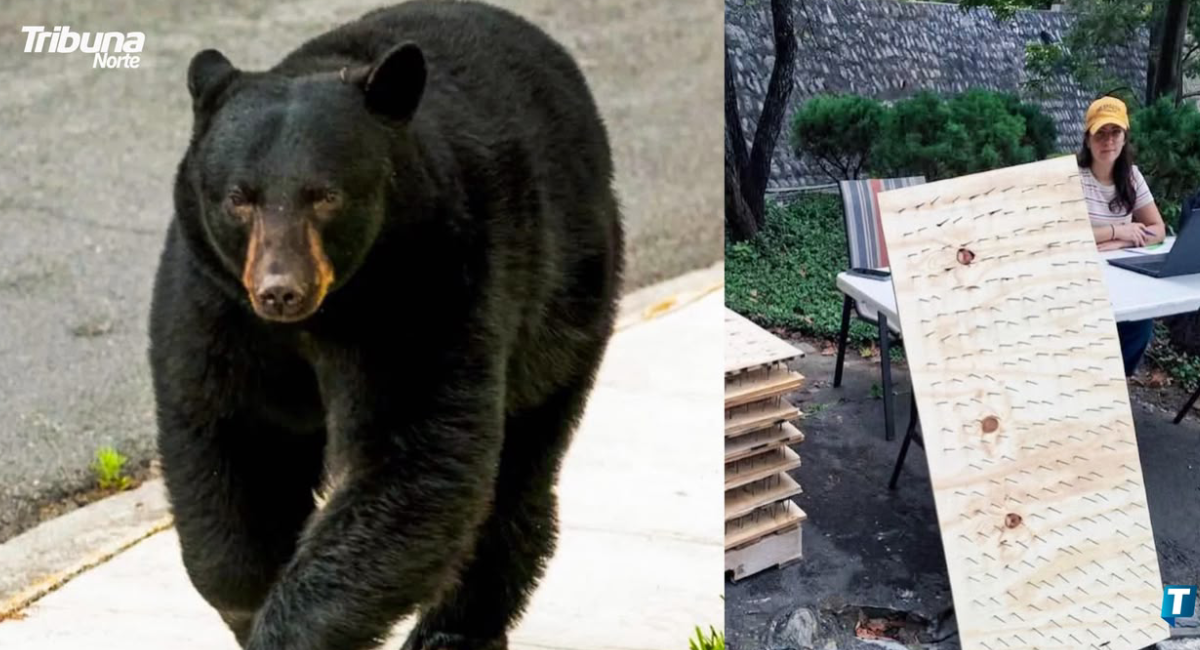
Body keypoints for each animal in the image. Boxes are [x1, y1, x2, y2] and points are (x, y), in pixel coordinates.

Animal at [147, 2, 624, 649]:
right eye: (239, 198)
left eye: (326, 196)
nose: (280, 290)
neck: (326, 315)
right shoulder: (215, 303)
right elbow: (231, 439)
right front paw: (248, 600)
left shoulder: (429, 286)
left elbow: (413, 462)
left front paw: (286, 629)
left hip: (565, 304)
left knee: (516, 471)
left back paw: (456, 631)